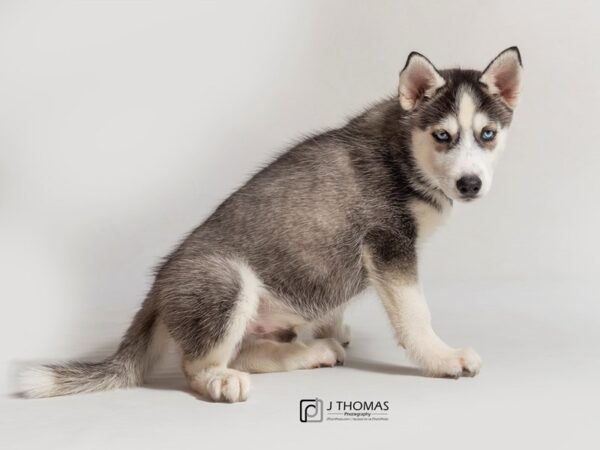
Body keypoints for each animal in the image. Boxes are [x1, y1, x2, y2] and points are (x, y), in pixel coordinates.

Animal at [22, 47, 520, 402]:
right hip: (227, 281)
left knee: (249, 351)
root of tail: (158, 287)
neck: (404, 152)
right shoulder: (388, 242)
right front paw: (442, 357)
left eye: (487, 135)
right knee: (199, 365)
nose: (470, 183)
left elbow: (337, 306)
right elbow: (416, 314)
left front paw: (330, 329)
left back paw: (314, 350)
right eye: (443, 136)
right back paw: (222, 380)